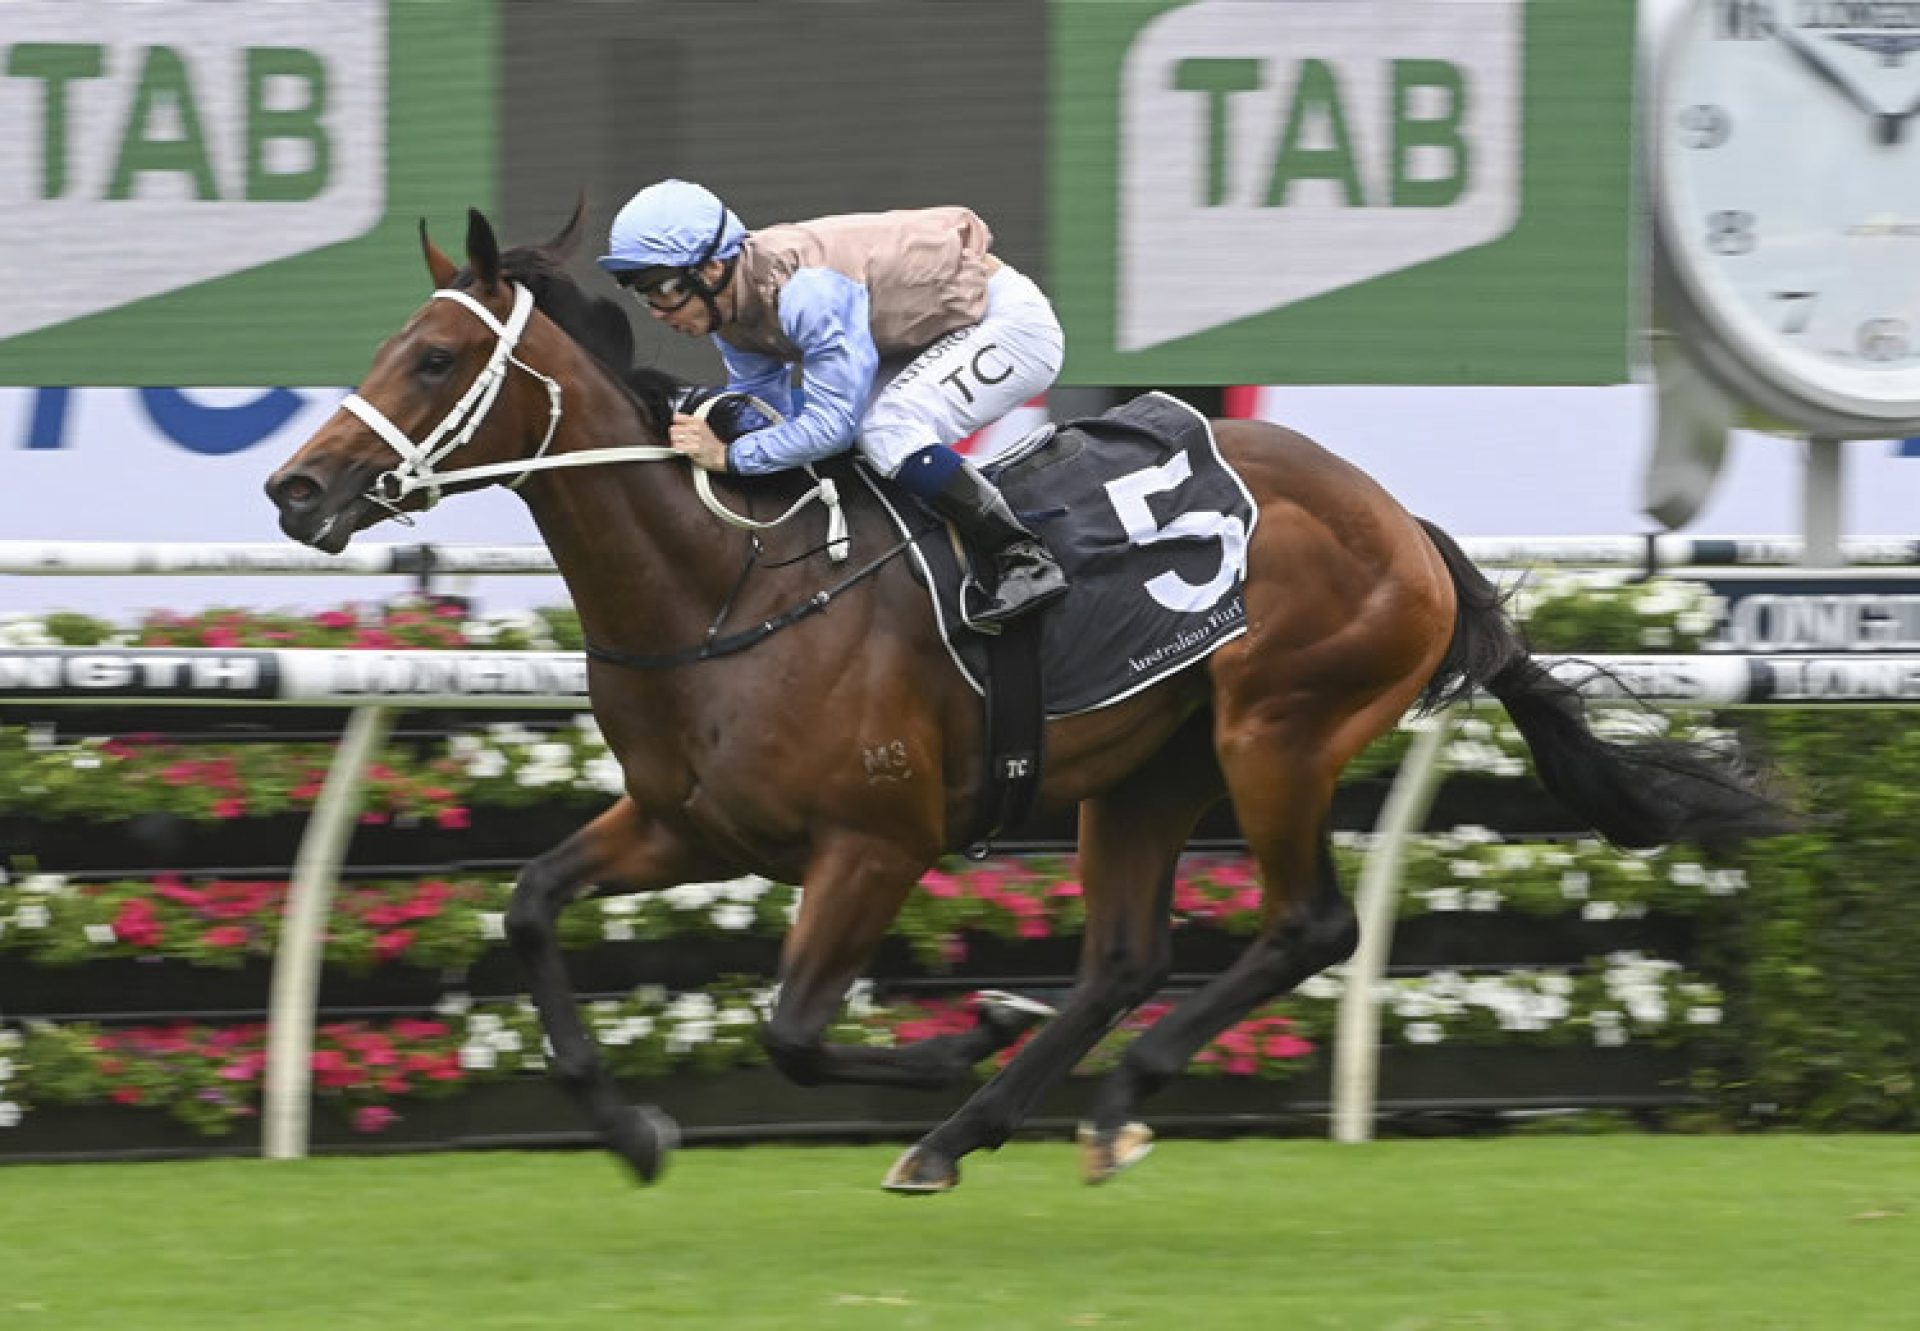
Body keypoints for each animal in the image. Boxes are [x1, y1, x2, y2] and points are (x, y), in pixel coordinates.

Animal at [263, 202, 1789, 1190]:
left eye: (436, 357)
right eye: (399, 341)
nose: (295, 488)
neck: (725, 584)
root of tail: (1403, 522)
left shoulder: (876, 843)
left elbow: (794, 1033)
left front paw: (957, 1035)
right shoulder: (688, 824)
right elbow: (527, 905)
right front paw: (634, 1130)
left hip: (1278, 728)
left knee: (1309, 923)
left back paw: (1091, 1100)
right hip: (1152, 767)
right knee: (1124, 955)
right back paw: (977, 1126)